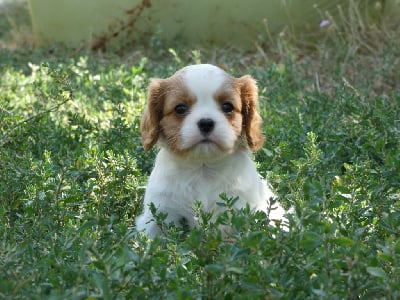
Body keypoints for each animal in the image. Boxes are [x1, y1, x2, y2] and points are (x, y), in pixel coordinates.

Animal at [135, 64, 284, 238]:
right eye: (180, 108)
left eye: (227, 107)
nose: (206, 123)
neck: (203, 168)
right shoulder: (159, 212)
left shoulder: (242, 210)